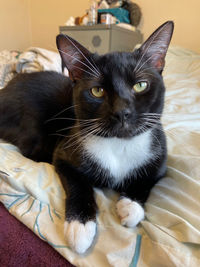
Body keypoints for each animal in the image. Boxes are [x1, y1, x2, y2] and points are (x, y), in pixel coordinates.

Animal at [0, 20, 173, 253]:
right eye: (97, 91)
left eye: (140, 85)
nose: (122, 112)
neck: (119, 145)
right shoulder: (64, 154)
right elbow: (78, 183)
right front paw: (79, 226)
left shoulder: (160, 157)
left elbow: (148, 178)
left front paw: (130, 206)